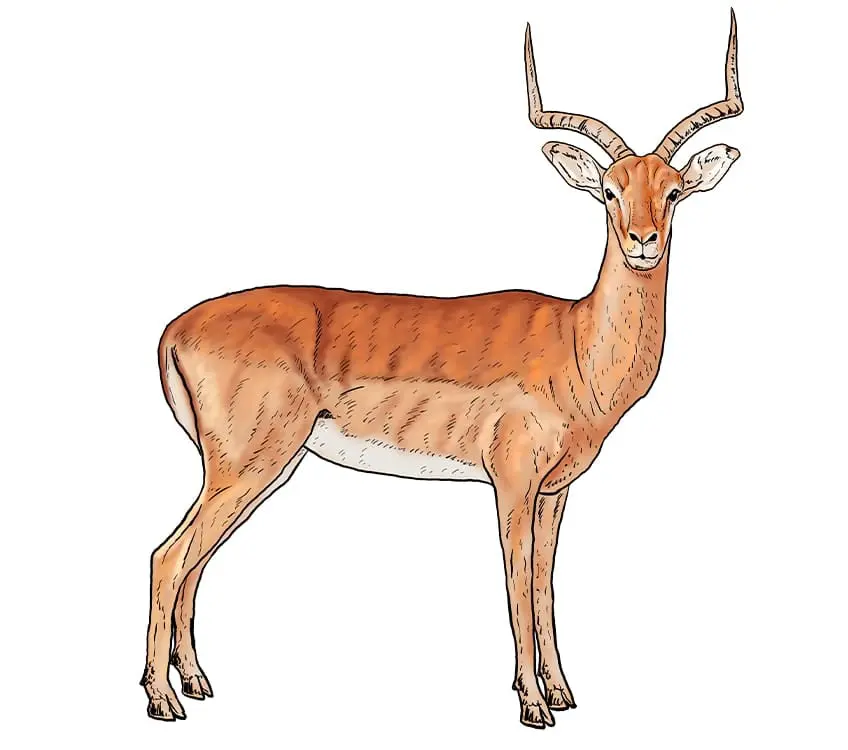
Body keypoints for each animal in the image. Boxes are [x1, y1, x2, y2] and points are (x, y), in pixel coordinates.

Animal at [142, 11, 744, 728]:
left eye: (673, 191)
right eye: (608, 191)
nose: (643, 242)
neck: (576, 344)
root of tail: (173, 328)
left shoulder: (556, 491)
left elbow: (546, 584)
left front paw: (562, 692)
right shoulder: (511, 482)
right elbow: (516, 584)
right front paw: (533, 705)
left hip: (260, 469)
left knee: (193, 560)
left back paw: (196, 683)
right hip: (246, 466)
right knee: (168, 556)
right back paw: (161, 700)